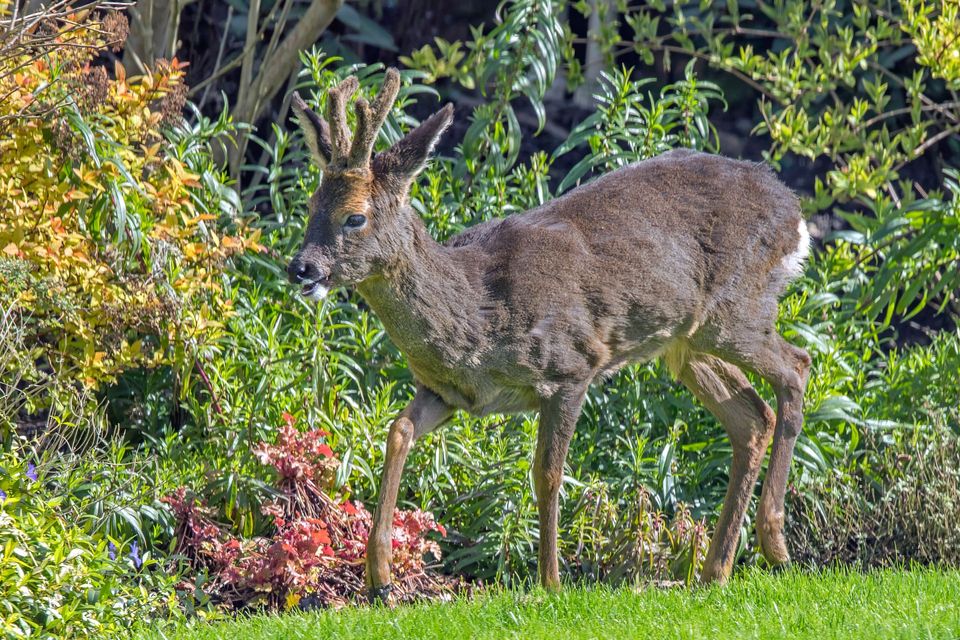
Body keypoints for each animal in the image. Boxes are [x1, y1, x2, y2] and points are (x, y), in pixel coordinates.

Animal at [287, 68, 811, 602]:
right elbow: (397, 432)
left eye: (355, 216)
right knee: (752, 417)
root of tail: (794, 211)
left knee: (797, 367)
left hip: (736, 311)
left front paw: (551, 581)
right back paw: (714, 572)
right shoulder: (449, 392)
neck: (477, 315)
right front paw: (380, 577)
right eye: (310, 204)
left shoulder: (572, 364)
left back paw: (775, 543)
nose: (300, 268)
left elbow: (547, 473)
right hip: (685, 343)